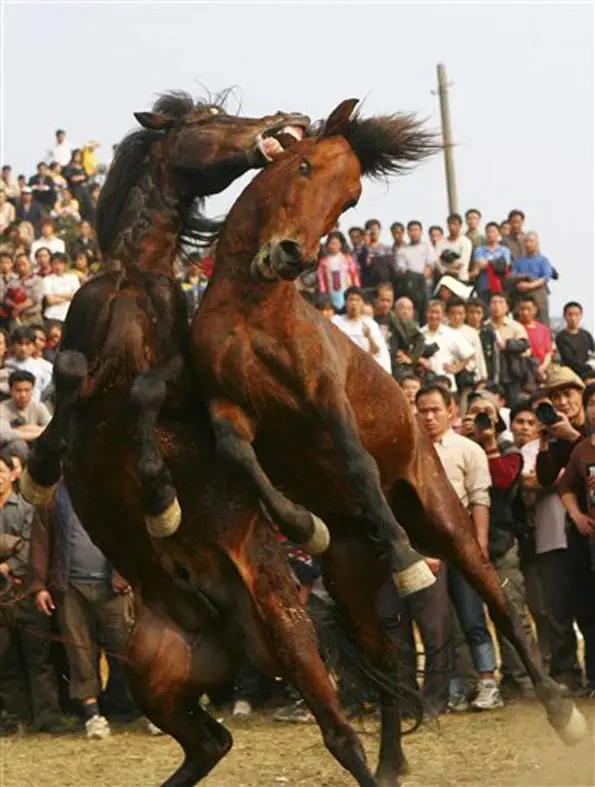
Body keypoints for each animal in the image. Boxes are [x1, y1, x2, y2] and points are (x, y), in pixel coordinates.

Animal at [23, 95, 406, 784]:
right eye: (208, 119)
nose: (285, 120)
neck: (134, 276)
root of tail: (226, 631)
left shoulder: (179, 385)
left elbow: (146, 391)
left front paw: (161, 503)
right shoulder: (79, 343)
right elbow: (66, 373)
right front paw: (39, 467)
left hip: (290, 639)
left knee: (340, 737)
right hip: (154, 675)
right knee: (210, 742)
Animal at [190, 98, 588, 756]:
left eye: (349, 196)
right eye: (303, 165)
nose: (292, 255)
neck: (254, 309)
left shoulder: (325, 397)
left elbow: (355, 461)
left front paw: (403, 557)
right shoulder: (231, 405)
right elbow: (234, 451)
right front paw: (302, 524)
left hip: (448, 523)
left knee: (500, 606)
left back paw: (563, 712)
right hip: (351, 580)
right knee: (382, 661)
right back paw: (389, 764)